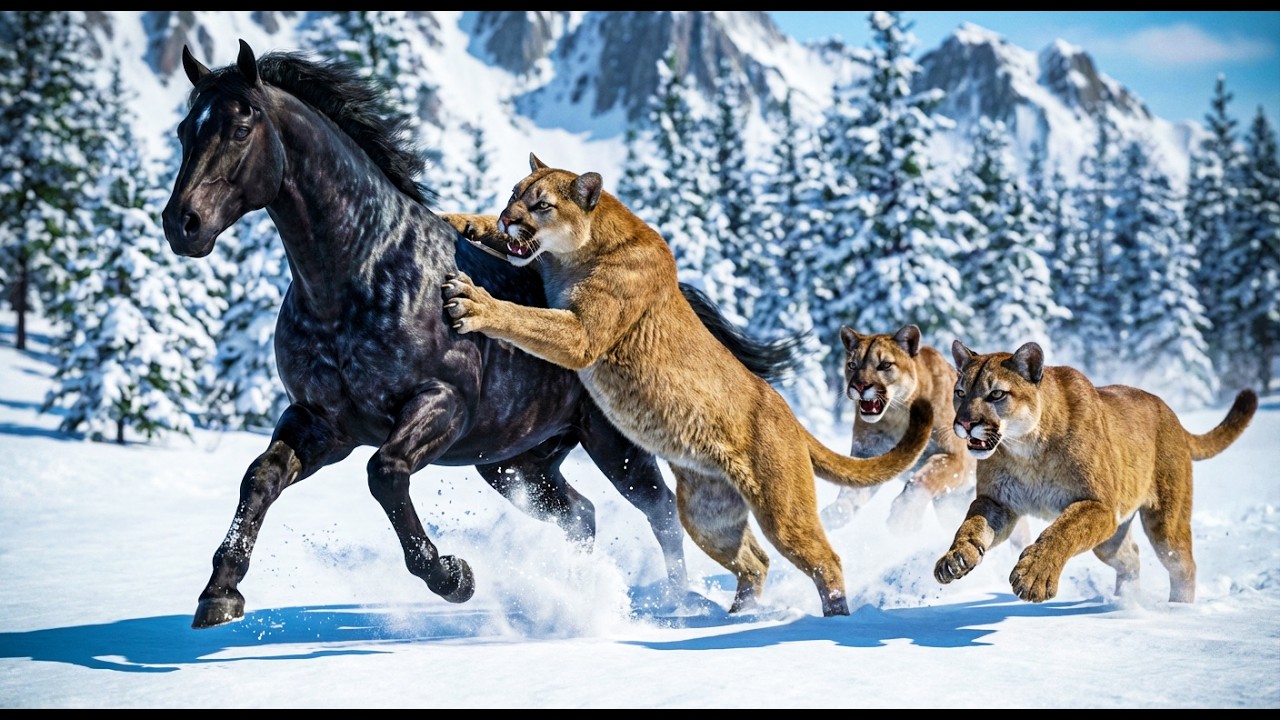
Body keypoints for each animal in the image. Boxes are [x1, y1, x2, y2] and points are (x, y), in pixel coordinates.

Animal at [162, 40, 800, 629]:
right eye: (184, 130)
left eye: (240, 125)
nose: (181, 224)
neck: (361, 278)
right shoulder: (322, 423)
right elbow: (260, 478)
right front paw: (220, 594)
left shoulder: (440, 407)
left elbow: (385, 475)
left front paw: (454, 577)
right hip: (516, 463)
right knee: (582, 515)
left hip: (610, 446)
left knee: (660, 512)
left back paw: (673, 603)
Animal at [439, 154, 934, 616]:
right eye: (513, 195)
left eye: (541, 205)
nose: (509, 218)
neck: (575, 253)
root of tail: (790, 416)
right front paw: (461, 220)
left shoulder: (582, 335)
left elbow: (525, 317)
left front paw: (475, 302)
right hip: (705, 513)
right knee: (754, 561)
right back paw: (736, 618)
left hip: (781, 508)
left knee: (824, 559)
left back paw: (833, 619)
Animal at [934, 339, 1257, 603]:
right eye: (960, 392)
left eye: (997, 394)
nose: (964, 423)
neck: (1027, 450)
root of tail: (1172, 414)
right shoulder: (998, 501)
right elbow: (972, 523)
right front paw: (955, 558)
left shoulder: (1099, 504)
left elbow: (1062, 530)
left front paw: (1034, 575)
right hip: (1111, 539)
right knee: (1132, 559)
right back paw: (1124, 601)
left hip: (1165, 522)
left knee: (1183, 565)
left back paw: (1178, 610)